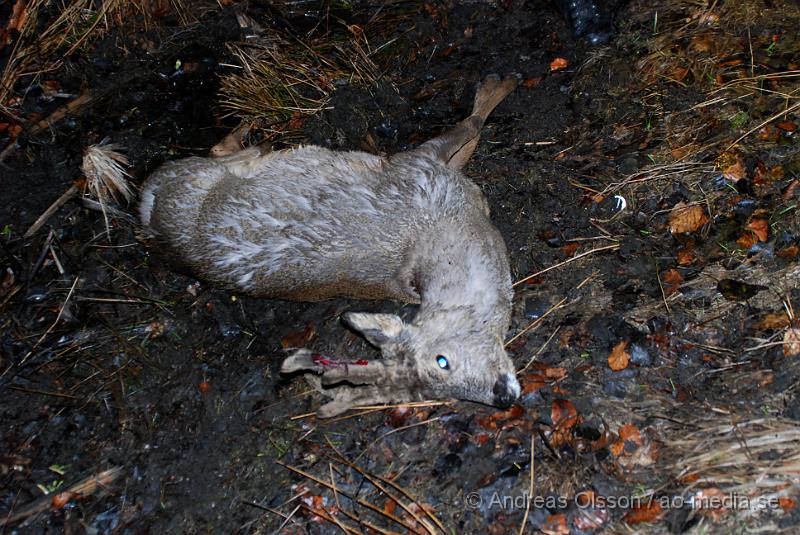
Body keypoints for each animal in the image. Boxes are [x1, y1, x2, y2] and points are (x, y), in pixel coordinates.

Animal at [139, 75, 520, 418]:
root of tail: (146, 211)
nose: (502, 396)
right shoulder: (419, 166)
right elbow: (469, 125)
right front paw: (496, 86)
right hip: (194, 176)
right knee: (215, 158)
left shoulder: (418, 169)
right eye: (441, 367)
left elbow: (467, 137)